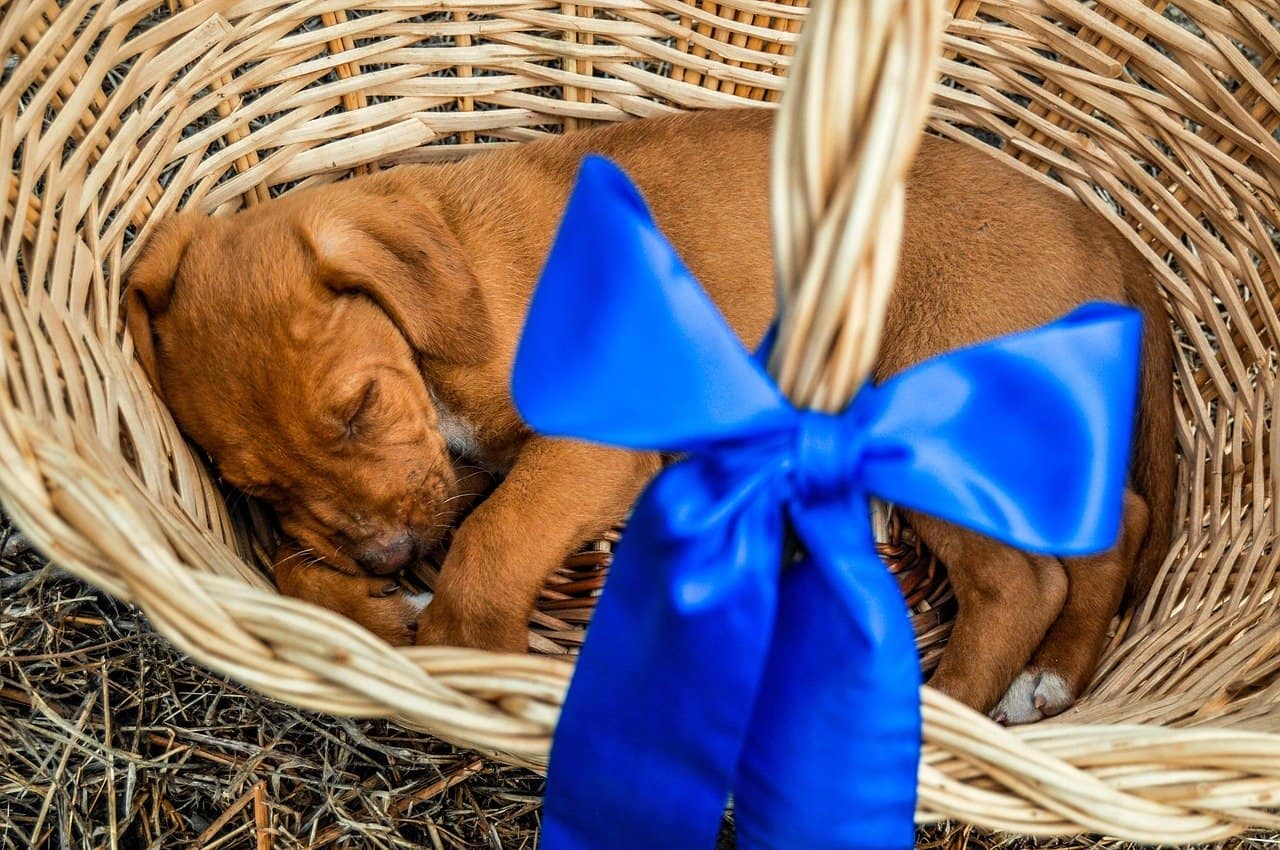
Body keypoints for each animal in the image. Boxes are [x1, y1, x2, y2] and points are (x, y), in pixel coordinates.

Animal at [124, 108, 1172, 721]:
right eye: (253, 484)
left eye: (359, 409)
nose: (390, 559)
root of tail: (1098, 229)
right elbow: (289, 564)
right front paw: (377, 611)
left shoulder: (584, 445)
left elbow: (491, 546)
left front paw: (472, 655)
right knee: (1115, 524)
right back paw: (1052, 679)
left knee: (1021, 582)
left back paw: (947, 714)